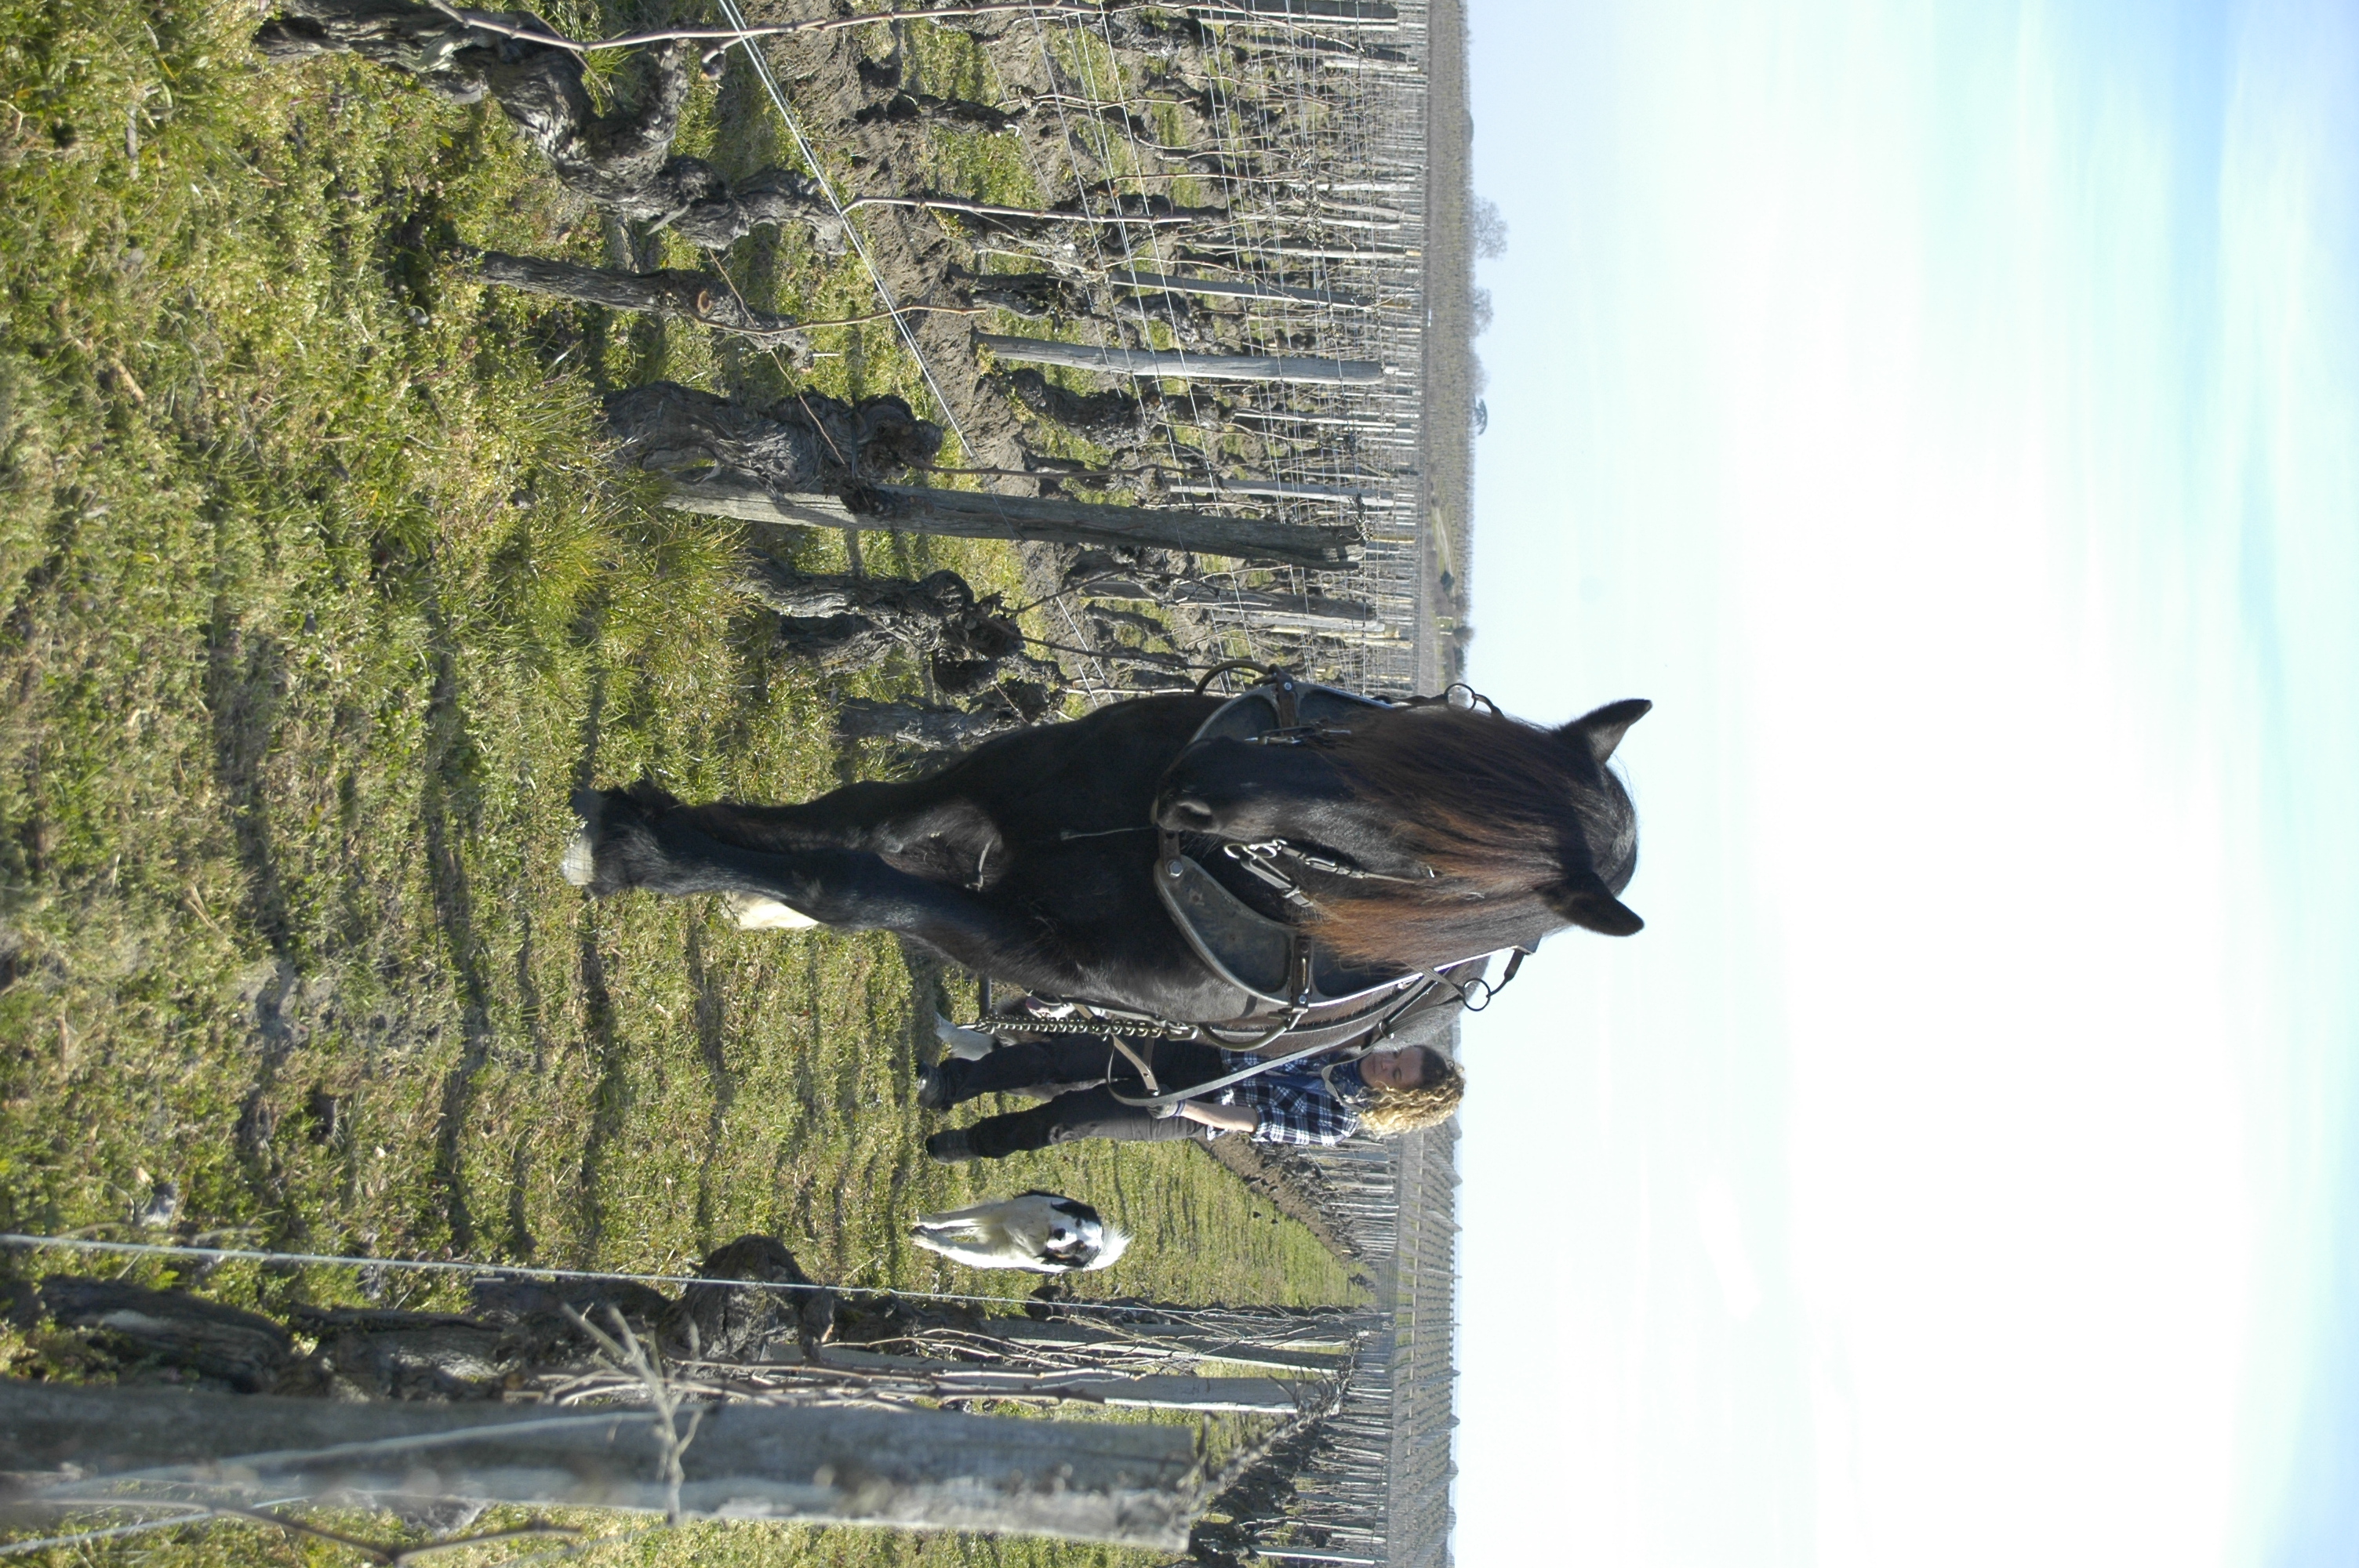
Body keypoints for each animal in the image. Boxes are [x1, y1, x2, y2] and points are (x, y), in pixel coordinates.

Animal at [563, 686, 1648, 1026]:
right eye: (1415, 730)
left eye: (1427, 873)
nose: (1194, 780)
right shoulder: (994, 782)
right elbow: (852, 821)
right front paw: (661, 832)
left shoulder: (1031, 948)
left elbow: (855, 882)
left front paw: (645, 852)